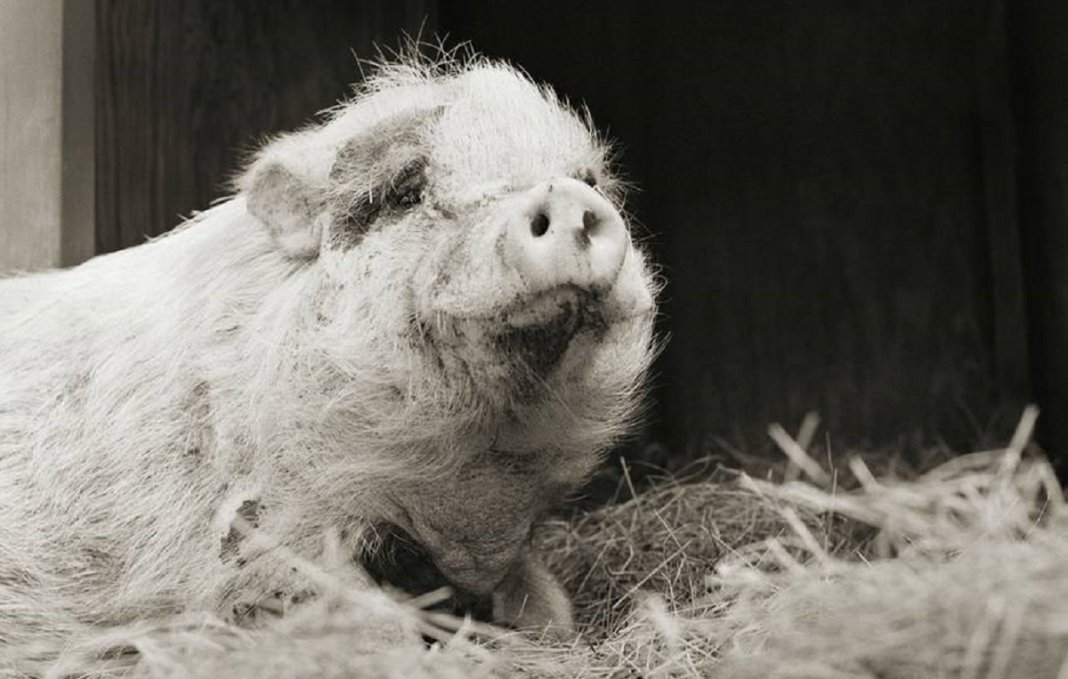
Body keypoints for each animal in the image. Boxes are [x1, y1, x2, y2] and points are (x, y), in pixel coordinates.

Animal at [0, 51, 657, 649]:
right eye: (404, 190)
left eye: (588, 181)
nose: (564, 196)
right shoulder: (266, 538)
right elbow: (361, 619)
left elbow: (548, 607)